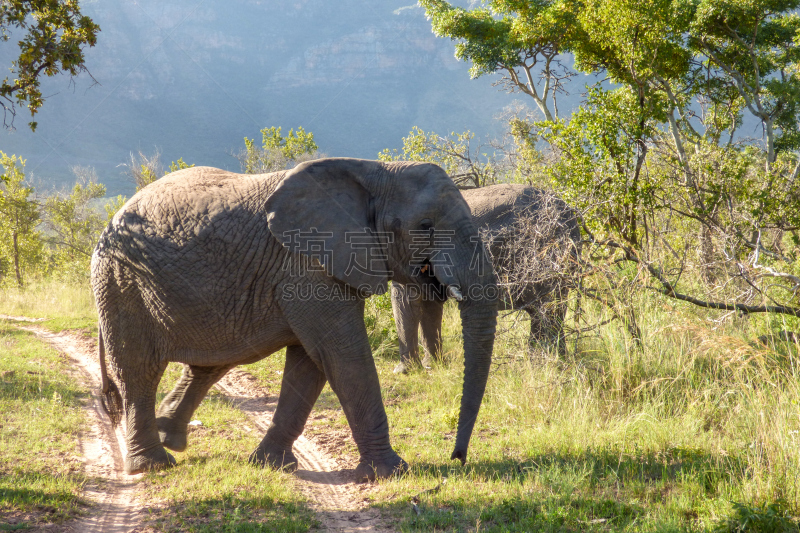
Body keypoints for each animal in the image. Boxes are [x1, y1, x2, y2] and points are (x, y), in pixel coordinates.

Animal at [90, 157, 496, 478]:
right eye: (425, 225)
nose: (458, 458)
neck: (376, 172)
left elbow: (310, 364)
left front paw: (269, 464)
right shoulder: (307, 265)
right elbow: (342, 355)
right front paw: (392, 472)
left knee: (212, 362)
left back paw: (170, 438)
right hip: (122, 283)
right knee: (138, 370)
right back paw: (153, 465)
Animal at [390, 183, 580, 370]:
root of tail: (570, 215)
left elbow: (406, 300)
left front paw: (407, 370)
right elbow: (429, 302)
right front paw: (433, 366)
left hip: (545, 253)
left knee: (547, 308)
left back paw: (548, 364)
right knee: (546, 310)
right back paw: (548, 362)